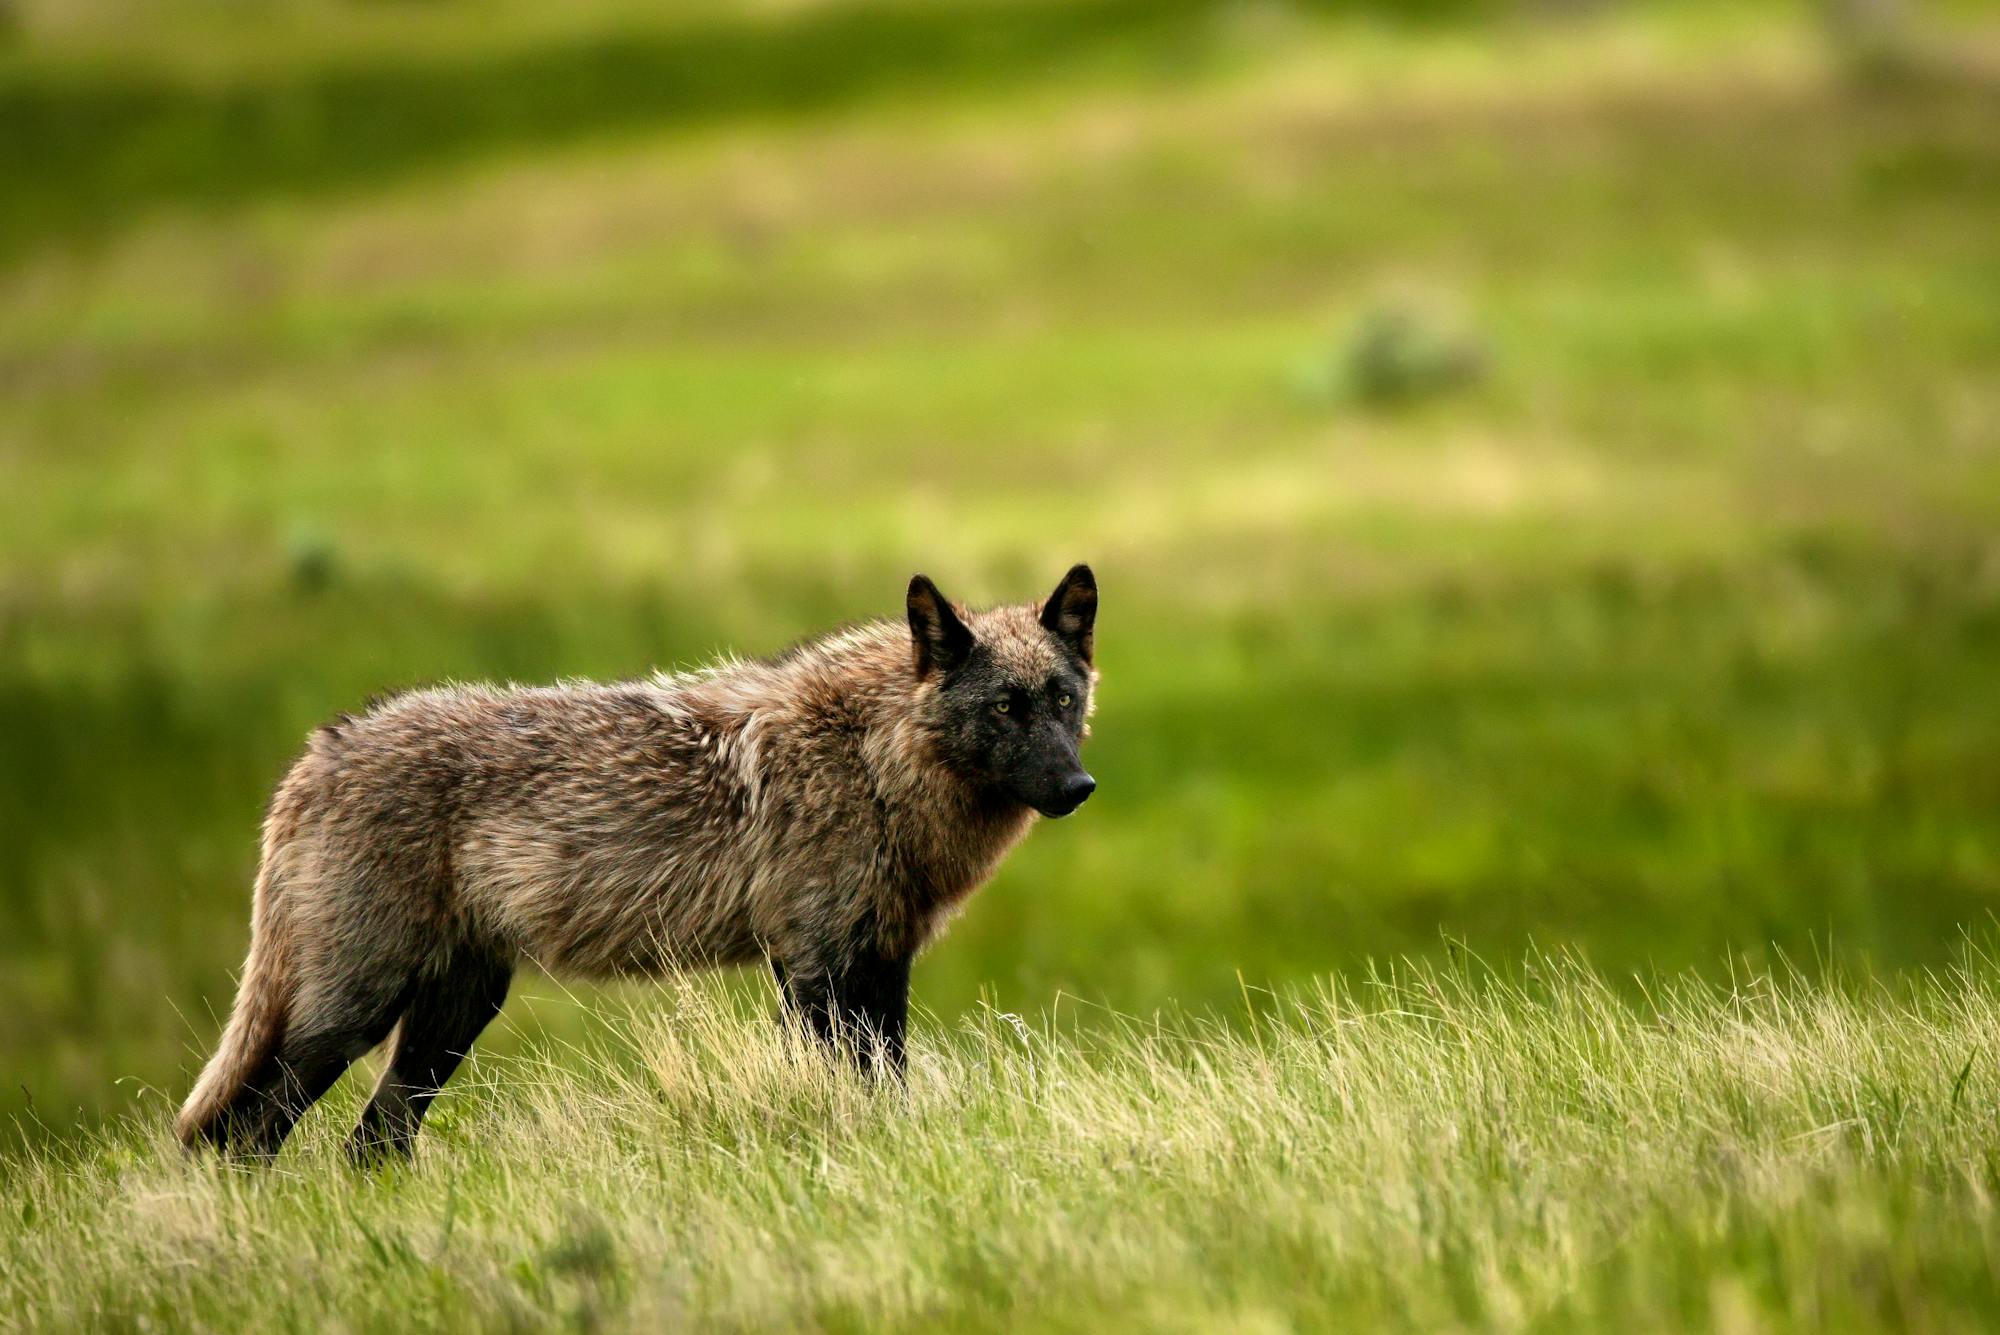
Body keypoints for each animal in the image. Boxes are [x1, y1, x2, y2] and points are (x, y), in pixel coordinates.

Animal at [175, 565, 1099, 1162]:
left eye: (1062, 699)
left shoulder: (879, 961)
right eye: (1004, 708)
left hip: (448, 1019)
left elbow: (889, 1085)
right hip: (354, 1012)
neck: (874, 760)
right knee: (242, 1134)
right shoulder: (816, 966)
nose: (1078, 787)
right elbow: (850, 1088)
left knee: (368, 1144)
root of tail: (314, 753)